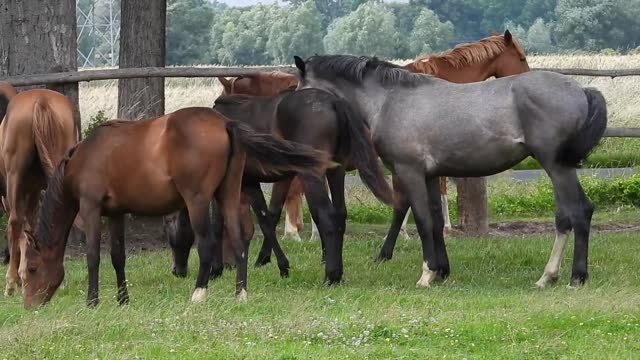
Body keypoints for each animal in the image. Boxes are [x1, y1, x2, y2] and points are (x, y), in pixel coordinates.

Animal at [0, 85, 81, 298]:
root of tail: (41, 100)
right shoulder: (33, 190)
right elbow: (30, 226)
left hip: (14, 177)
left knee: (15, 222)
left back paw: (10, 283)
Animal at [18, 107, 332, 310]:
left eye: (32, 269)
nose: (29, 306)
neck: (84, 158)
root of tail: (225, 124)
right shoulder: (116, 214)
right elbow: (118, 257)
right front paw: (123, 300)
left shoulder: (91, 208)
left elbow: (94, 257)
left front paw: (92, 302)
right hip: (228, 194)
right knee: (239, 241)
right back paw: (240, 294)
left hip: (198, 201)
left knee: (207, 245)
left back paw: (199, 293)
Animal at [292, 54, 608, 290]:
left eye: (300, 85)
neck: (389, 100)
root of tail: (581, 90)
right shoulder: (431, 176)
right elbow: (433, 221)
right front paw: (441, 271)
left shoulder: (410, 173)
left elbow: (421, 220)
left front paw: (426, 274)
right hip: (560, 168)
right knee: (571, 215)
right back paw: (550, 277)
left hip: (556, 166)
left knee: (577, 212)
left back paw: (572, 276)